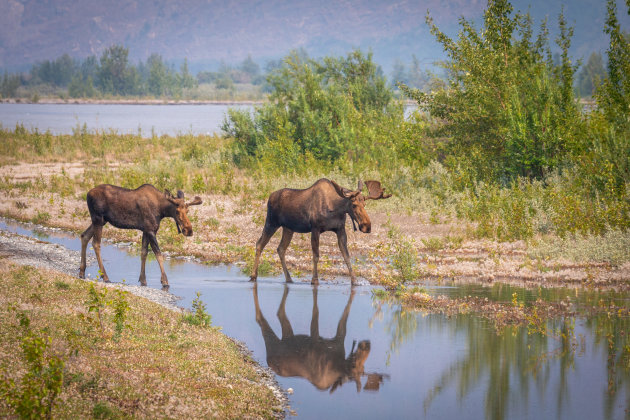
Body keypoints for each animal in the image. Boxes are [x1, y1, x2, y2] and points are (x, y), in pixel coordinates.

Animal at [248, 177, 388, 286]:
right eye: (354, 205)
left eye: (365, 204)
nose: (367, 226)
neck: (335, 209)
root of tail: (269, 197)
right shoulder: (315, 229)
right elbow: (316, 255)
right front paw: (314, 280)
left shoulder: (340, 229)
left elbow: (346, 255)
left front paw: (354, 281)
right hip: (271, 222)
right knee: (260, 244)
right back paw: (253, 275)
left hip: (288, 228)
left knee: (280, 248)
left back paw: (288, 278)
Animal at [254, 286, 388, 394]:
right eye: (353, 365)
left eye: (363, 370)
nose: (366, 344)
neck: (337, 364)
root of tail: (269, 361)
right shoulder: (315, 338)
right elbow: (317, 311)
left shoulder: (338, 339)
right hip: (272, 342)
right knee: (262, 320)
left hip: (287, 336)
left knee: (279, 314)